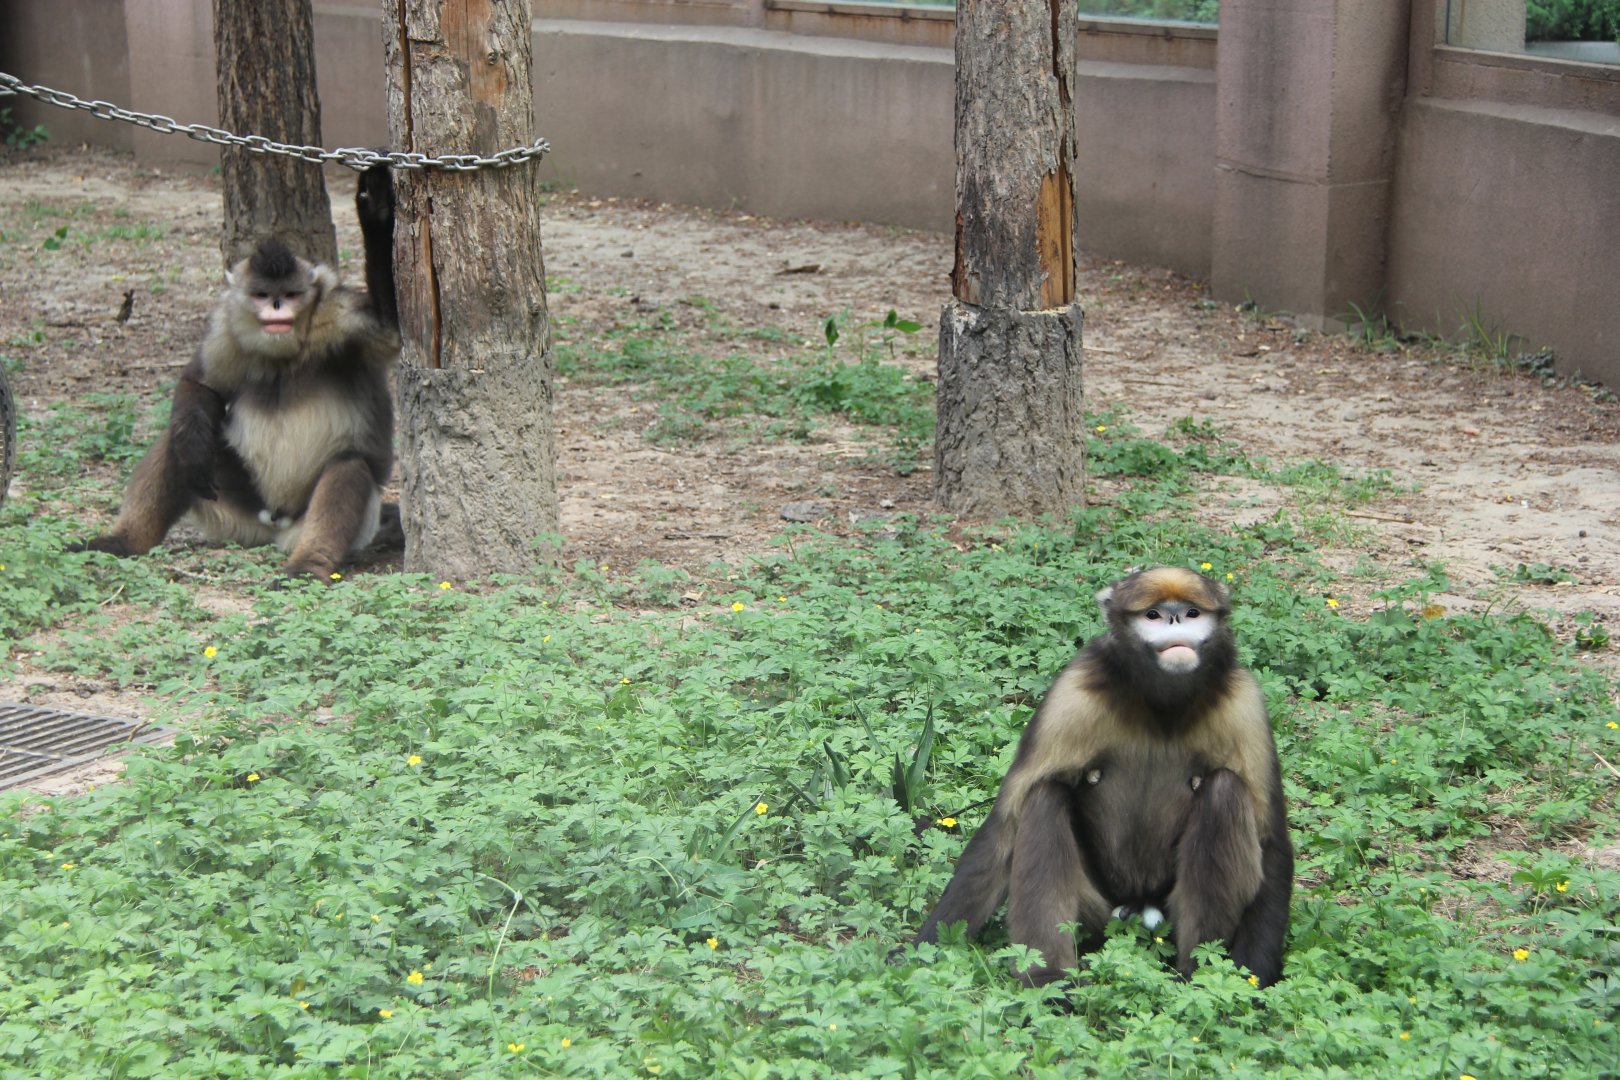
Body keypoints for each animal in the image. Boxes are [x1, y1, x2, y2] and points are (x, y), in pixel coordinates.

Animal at [75, 165, 399, 581]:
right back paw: (124, 540)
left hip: (327, 525)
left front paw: (377, 208)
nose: (276, 307)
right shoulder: (227, 327)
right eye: (262, 295)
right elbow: (200, 385)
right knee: (175, 438)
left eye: (290, 295)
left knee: (350, 467)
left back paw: (307, 565)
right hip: (240, 517)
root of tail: (275, 524)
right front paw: (194, 448)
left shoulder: (340, 321)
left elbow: (388, 328)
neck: (285, 355)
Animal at [912, 566, 1293, 988]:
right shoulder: (1074, 689)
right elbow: (1005, 822)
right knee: (1044, 796)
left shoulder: (1244, 701)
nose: (1176, 620)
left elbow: (1271, 839)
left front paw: (1254, 979)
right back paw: (1049, 981)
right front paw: (922, 948)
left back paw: (1195, 976)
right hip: (1096, 909)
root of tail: (1136, 905)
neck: (1162, 702)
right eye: (1153, 615)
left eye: (1193, 612)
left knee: (1225, 789)